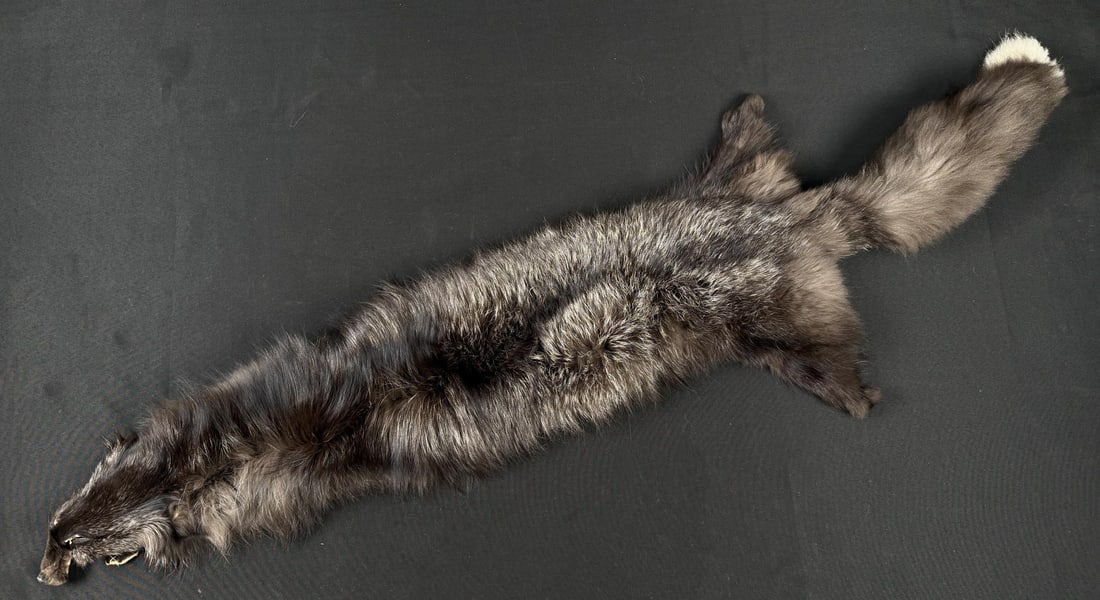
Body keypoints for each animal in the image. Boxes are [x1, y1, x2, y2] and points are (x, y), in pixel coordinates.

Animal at [39, 34, 1066, 585]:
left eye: (74, 538)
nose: (42, 562)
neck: (261, 437)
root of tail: (795, 219)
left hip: (775, 327)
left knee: (824, 351)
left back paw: (848, 388)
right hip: (736, 199)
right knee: (759, 153)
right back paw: (747, 123)